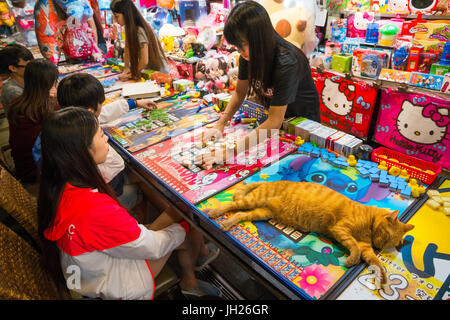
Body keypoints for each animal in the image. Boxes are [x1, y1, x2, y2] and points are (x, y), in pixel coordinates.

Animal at [205, 180, 414, 284]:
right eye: (386, 236)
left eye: (389, 244)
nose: (379, 246)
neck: (368, 222)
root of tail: (275, 179)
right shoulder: (341, 230)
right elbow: (353, 246)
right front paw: (352, 260)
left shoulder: (366, 248)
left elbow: (376, 262)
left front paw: (382, 277)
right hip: (253, 200)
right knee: (233, 204)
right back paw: (215, 212)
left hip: (261, 212)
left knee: (241, 214)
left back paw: (228, 222)